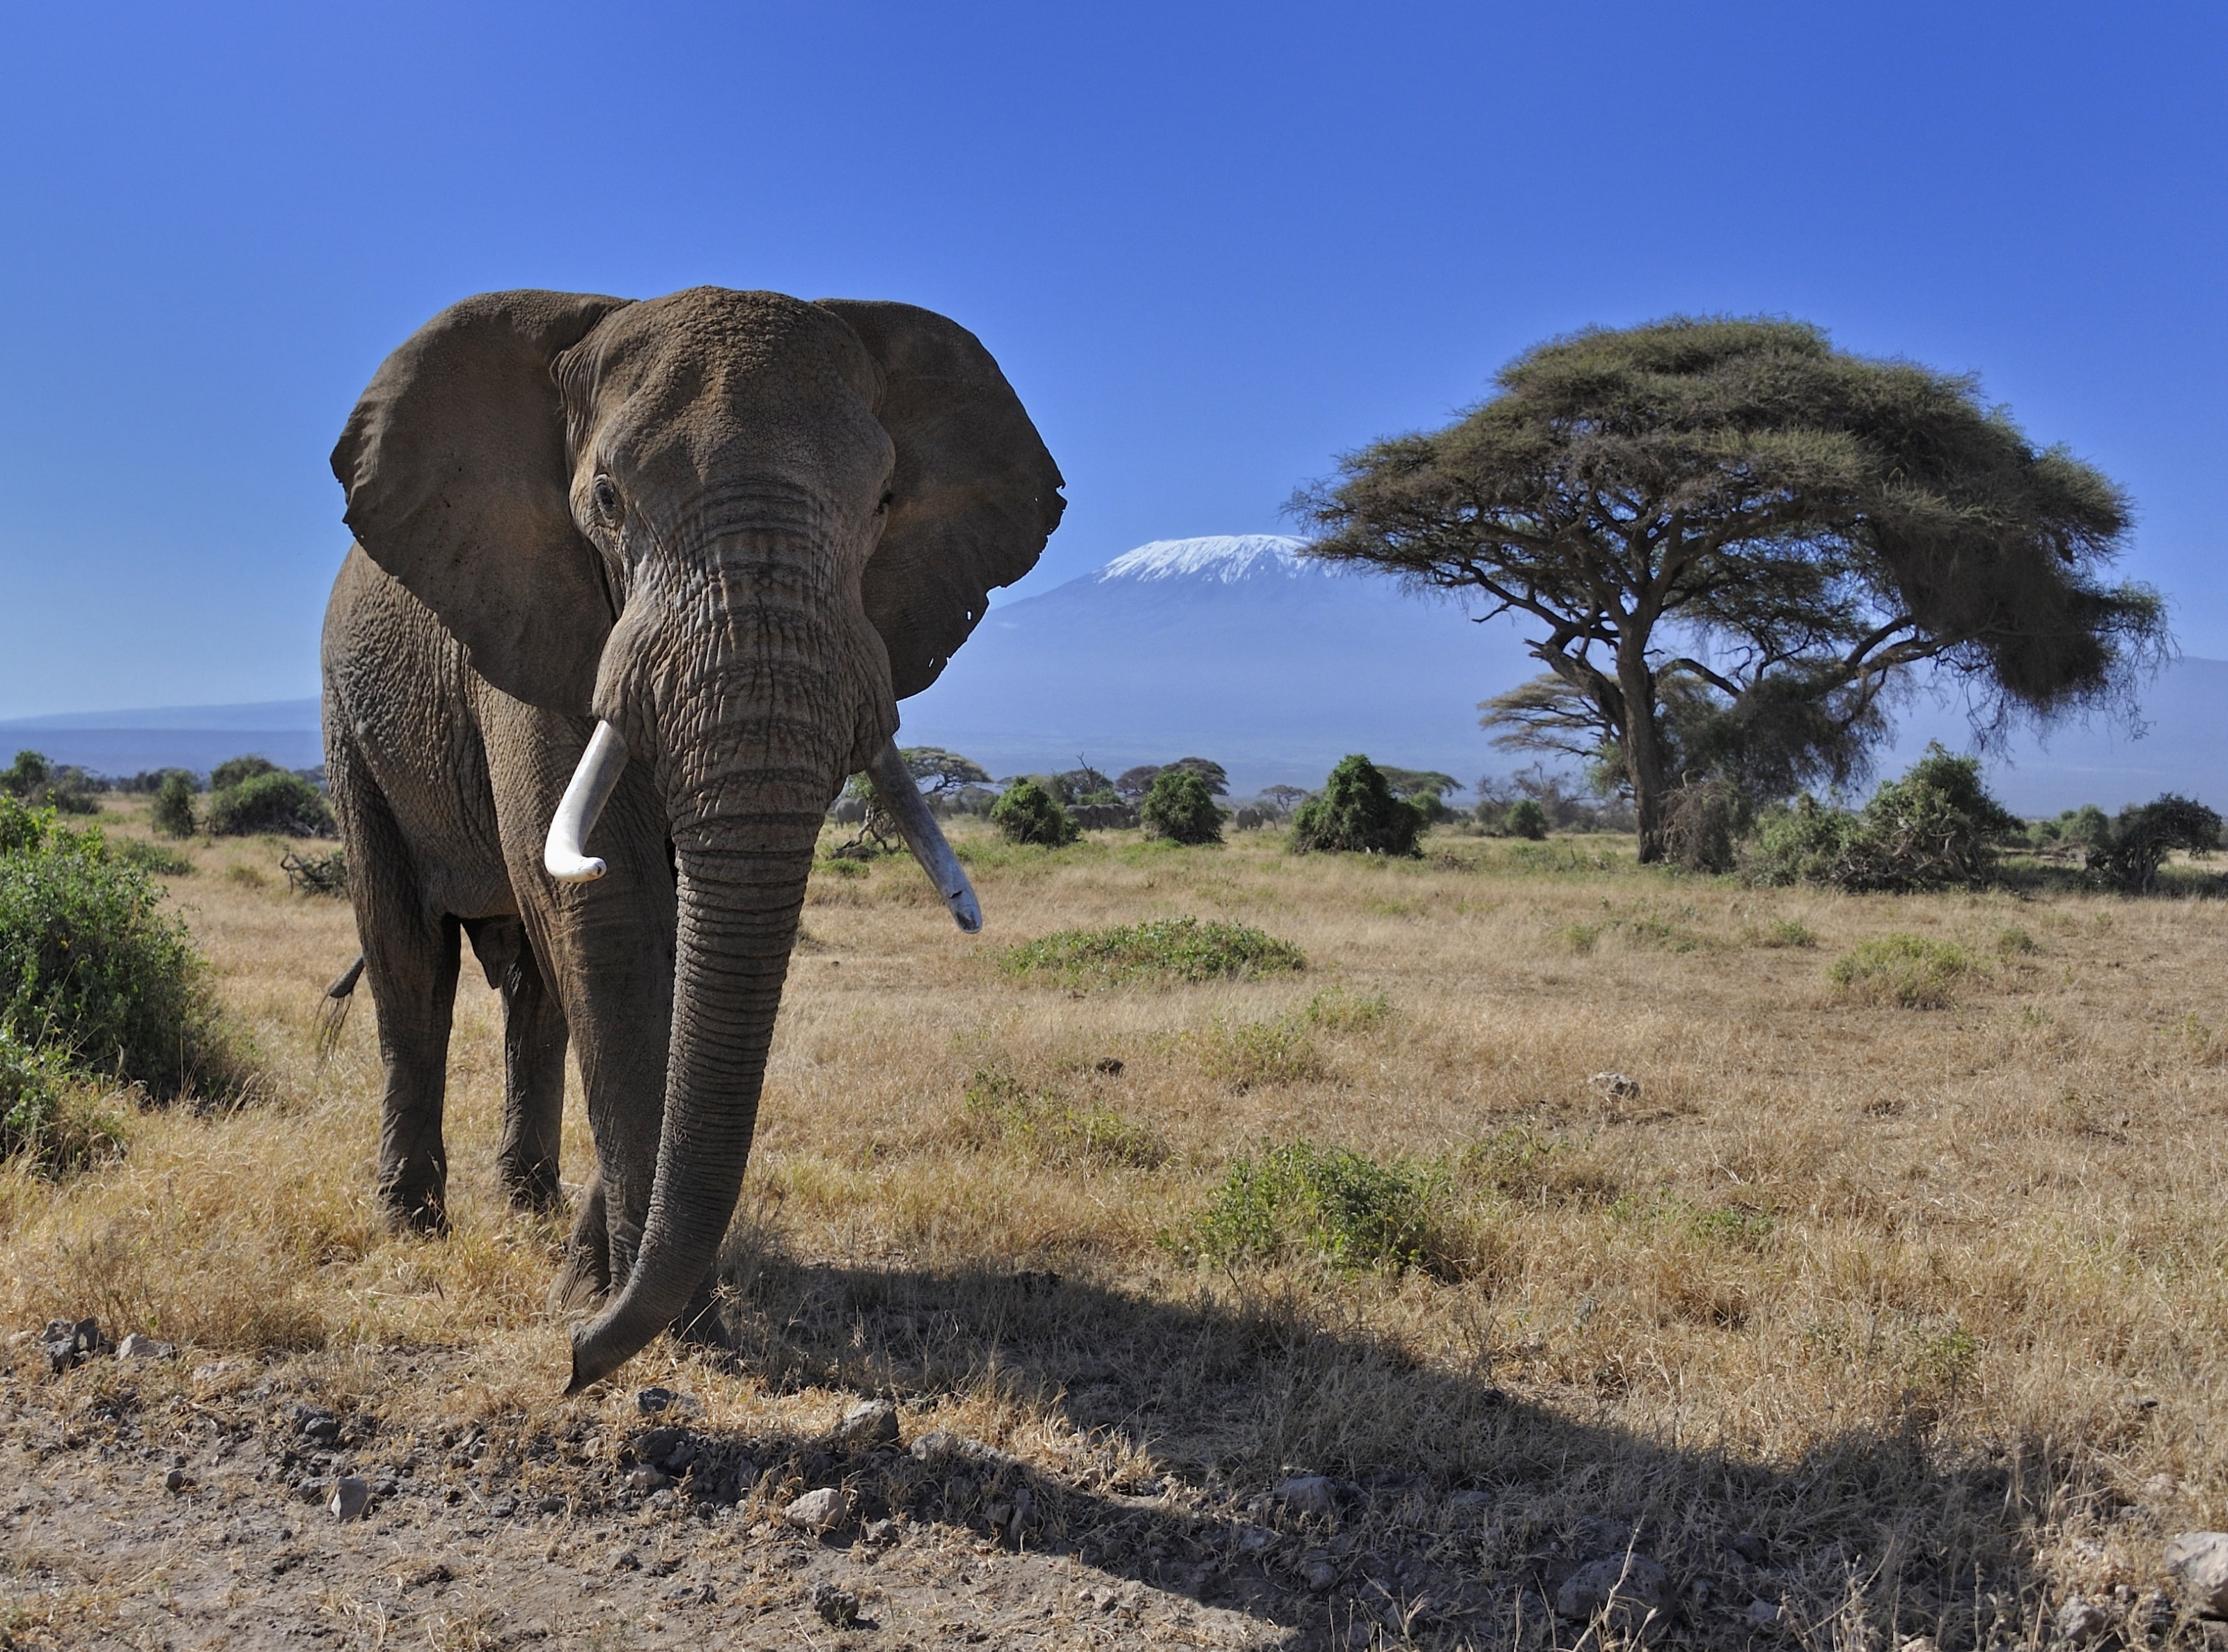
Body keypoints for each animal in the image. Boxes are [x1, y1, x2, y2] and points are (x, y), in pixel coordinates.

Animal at [319, 287, 1063, 1392]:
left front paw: (604, 1288)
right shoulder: (537, 610)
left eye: (885, 500)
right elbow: (612, 908)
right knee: (410, 957)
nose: (573, 1364)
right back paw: (412, 1227)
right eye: (608, 500)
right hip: (350, 719)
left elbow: (673, 943)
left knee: (535, 990)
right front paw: (655, 1320)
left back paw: (529, 1208)